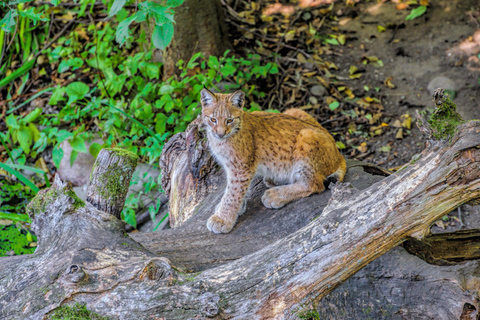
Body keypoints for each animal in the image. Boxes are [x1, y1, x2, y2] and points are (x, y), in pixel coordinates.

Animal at [201, 89, 346, 234]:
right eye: (213, 120)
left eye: (229, 120)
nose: (220, 134)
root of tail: (339, 154)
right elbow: (237, 190)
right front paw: (232, 209)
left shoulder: (240, 168)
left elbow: (233, 193)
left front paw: (222, 219)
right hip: (293, 110)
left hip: (306, 136)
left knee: (314, 185)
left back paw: (275, 195)